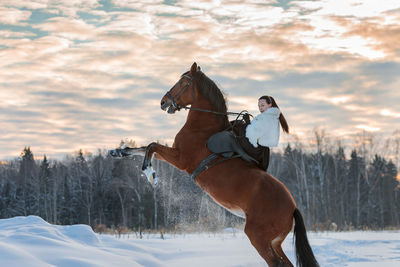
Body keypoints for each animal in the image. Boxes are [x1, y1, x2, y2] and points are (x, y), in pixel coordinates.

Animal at [115, 63, 318, 267]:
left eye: (182, 82)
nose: (163, 102)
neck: (202, 128)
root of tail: (292, 208)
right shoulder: (174, 153)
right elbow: (144, 147)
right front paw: (118, 152)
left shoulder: (180, 158)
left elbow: (151, 146)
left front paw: (151, 175)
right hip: (274, 242)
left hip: (258, 237)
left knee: (276, 263)